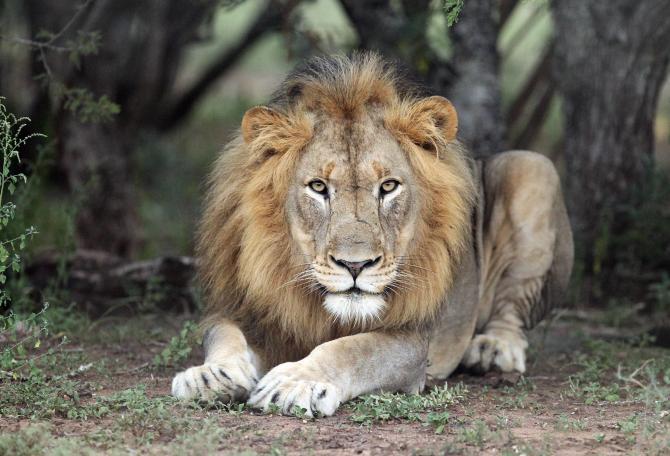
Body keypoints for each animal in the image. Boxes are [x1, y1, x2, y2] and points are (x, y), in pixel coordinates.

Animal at [171, 53, 574, 417]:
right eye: (318, 187)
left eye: (389, 186)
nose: (355, 265)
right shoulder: (242, 308)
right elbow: (221, 333)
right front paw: (210, 375)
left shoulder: (412, 341)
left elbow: (352, 350)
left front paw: (297, 382)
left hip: (533, 168)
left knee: (512, 312)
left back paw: (493, 350)